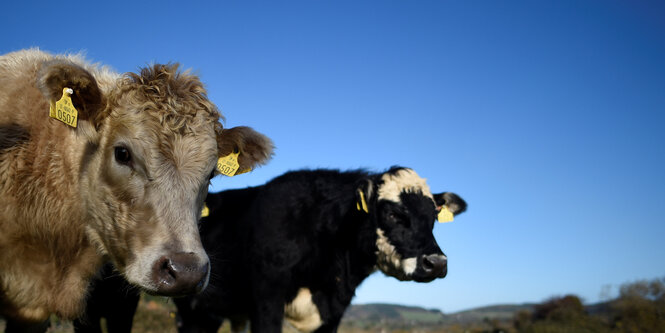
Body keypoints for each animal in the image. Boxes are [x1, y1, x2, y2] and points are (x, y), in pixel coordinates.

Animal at [176, 167, 466, 330]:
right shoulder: (266, 301)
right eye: (393, 214)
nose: (437, 263)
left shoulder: (334, 312)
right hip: (191, 310)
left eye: (433, 217)